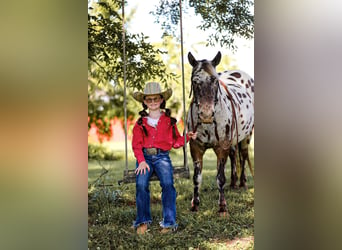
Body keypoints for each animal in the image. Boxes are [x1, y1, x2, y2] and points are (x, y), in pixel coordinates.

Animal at [187, 51, 254, 215]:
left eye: (215, 80)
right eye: (195, 81)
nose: (206, 114)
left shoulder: (221, 148)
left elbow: (220, 178)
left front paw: (222, 206)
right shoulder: (195, 147)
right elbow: (196, 178)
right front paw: (195, 204)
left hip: (247, 136)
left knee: (243, 156)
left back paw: (242, 183)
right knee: (234, 155)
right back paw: (233, 183)